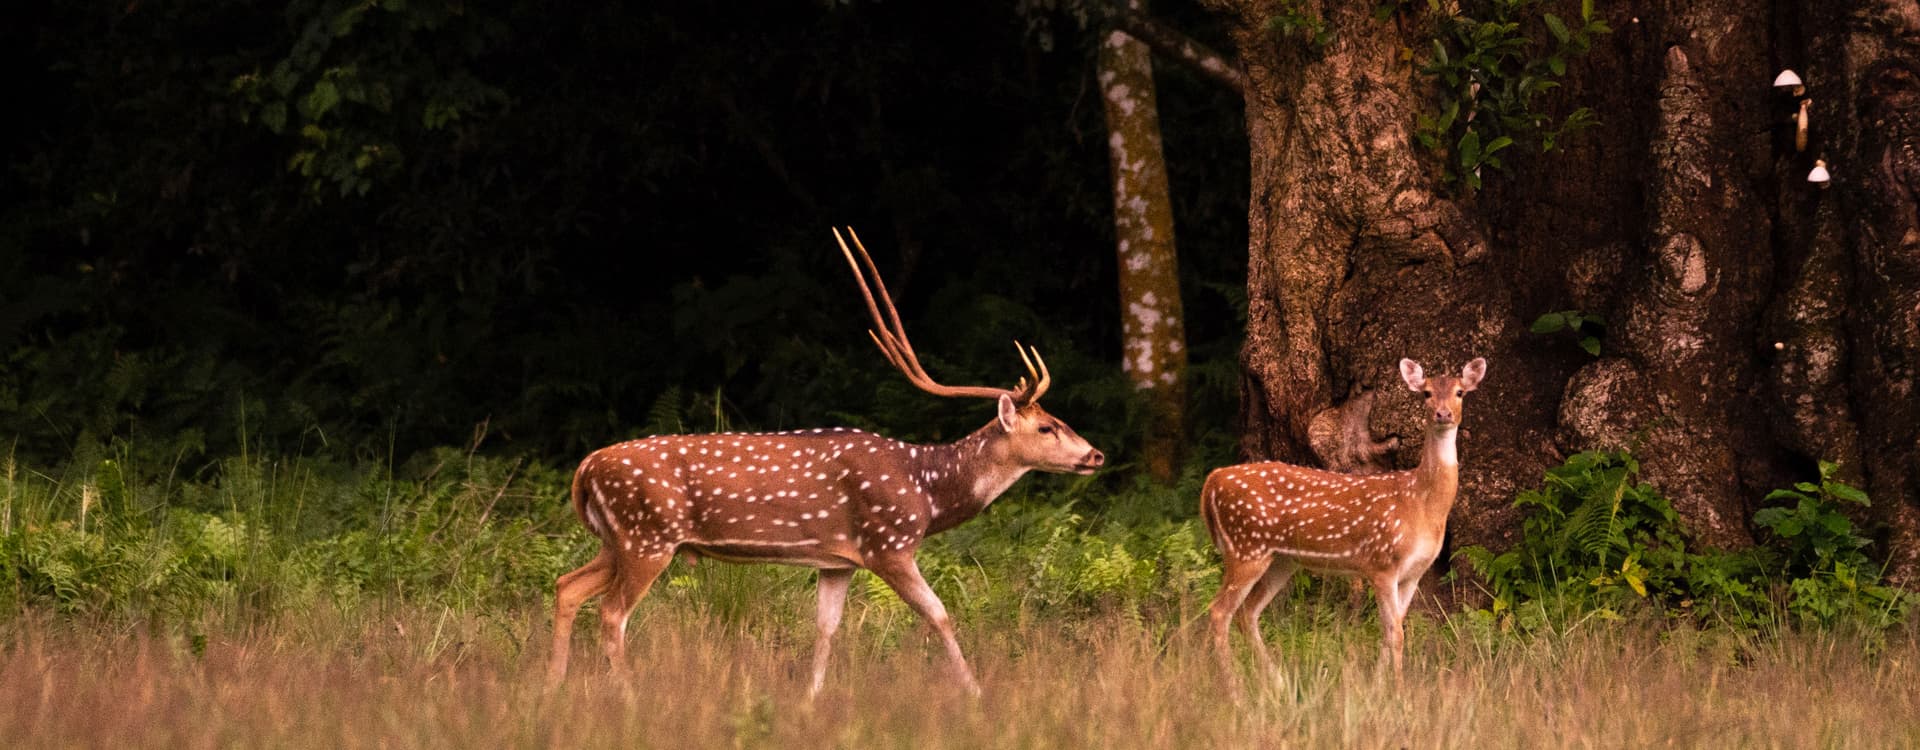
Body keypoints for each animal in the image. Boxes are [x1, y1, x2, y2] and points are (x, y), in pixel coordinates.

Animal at [549, 229, 1105, 698]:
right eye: (1047, 426)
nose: (1095, 455)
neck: (926, 492)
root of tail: (585, 469)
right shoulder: (889, 545)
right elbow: (941, 615)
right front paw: (976, 694)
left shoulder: (837, 561)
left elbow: (825, 629)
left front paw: (810, 701)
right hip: (648, 536)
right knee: (611, 613)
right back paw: (627, 695)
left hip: (619, 540)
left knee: (567, 586)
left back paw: (551, 687)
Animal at [1198, 358, 1482, 686]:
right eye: (1426, 393)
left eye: (1460, 392)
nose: (1443, 414)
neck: (1422, 504)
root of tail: (1213, 480)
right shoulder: (1381, 562)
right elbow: (1395, 633)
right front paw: (1398, 690)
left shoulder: (1414, 573)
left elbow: (1392, 630)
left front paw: (1377, 687)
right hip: (1245, 547)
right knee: (1219, 612)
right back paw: (1233, 687)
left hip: (1280, 560)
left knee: (1247, 613)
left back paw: (1279, 682)